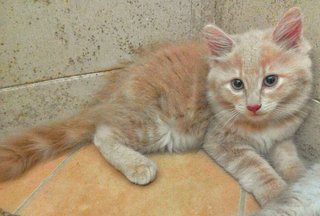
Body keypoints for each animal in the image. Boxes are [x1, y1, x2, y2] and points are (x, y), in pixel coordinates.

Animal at [0, 6, 312, 207]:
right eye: (237, 84)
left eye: (270, 80)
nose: (253, 106)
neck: (264, 125)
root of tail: (114, 89)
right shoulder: (222, 141)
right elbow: (258, 168)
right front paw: (281, 195)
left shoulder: (283, 138)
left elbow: (290, 161)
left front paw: (302, 179)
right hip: (156, 125)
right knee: (102, 134)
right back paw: (138, 165)